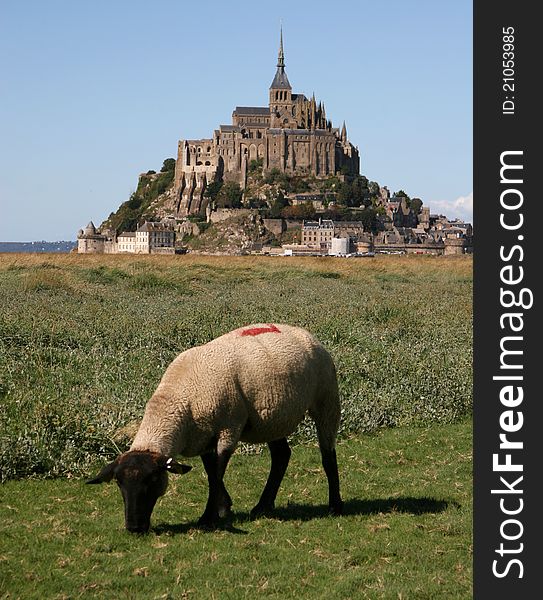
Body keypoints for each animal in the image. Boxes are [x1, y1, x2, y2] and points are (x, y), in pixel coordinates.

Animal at [89, 324, 344, 536]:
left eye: (152, 480)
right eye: (119, 483)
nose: (134, 527)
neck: (180, 399)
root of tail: (305, 333)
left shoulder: (228, 429)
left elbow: (217, 472)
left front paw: (208, 517)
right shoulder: (202, 436)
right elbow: (212, 472)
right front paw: (223, 507)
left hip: (326, 400)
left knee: (327, 454)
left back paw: (335, 505)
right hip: (271, 419)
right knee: (281, 455)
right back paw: (263, 506)